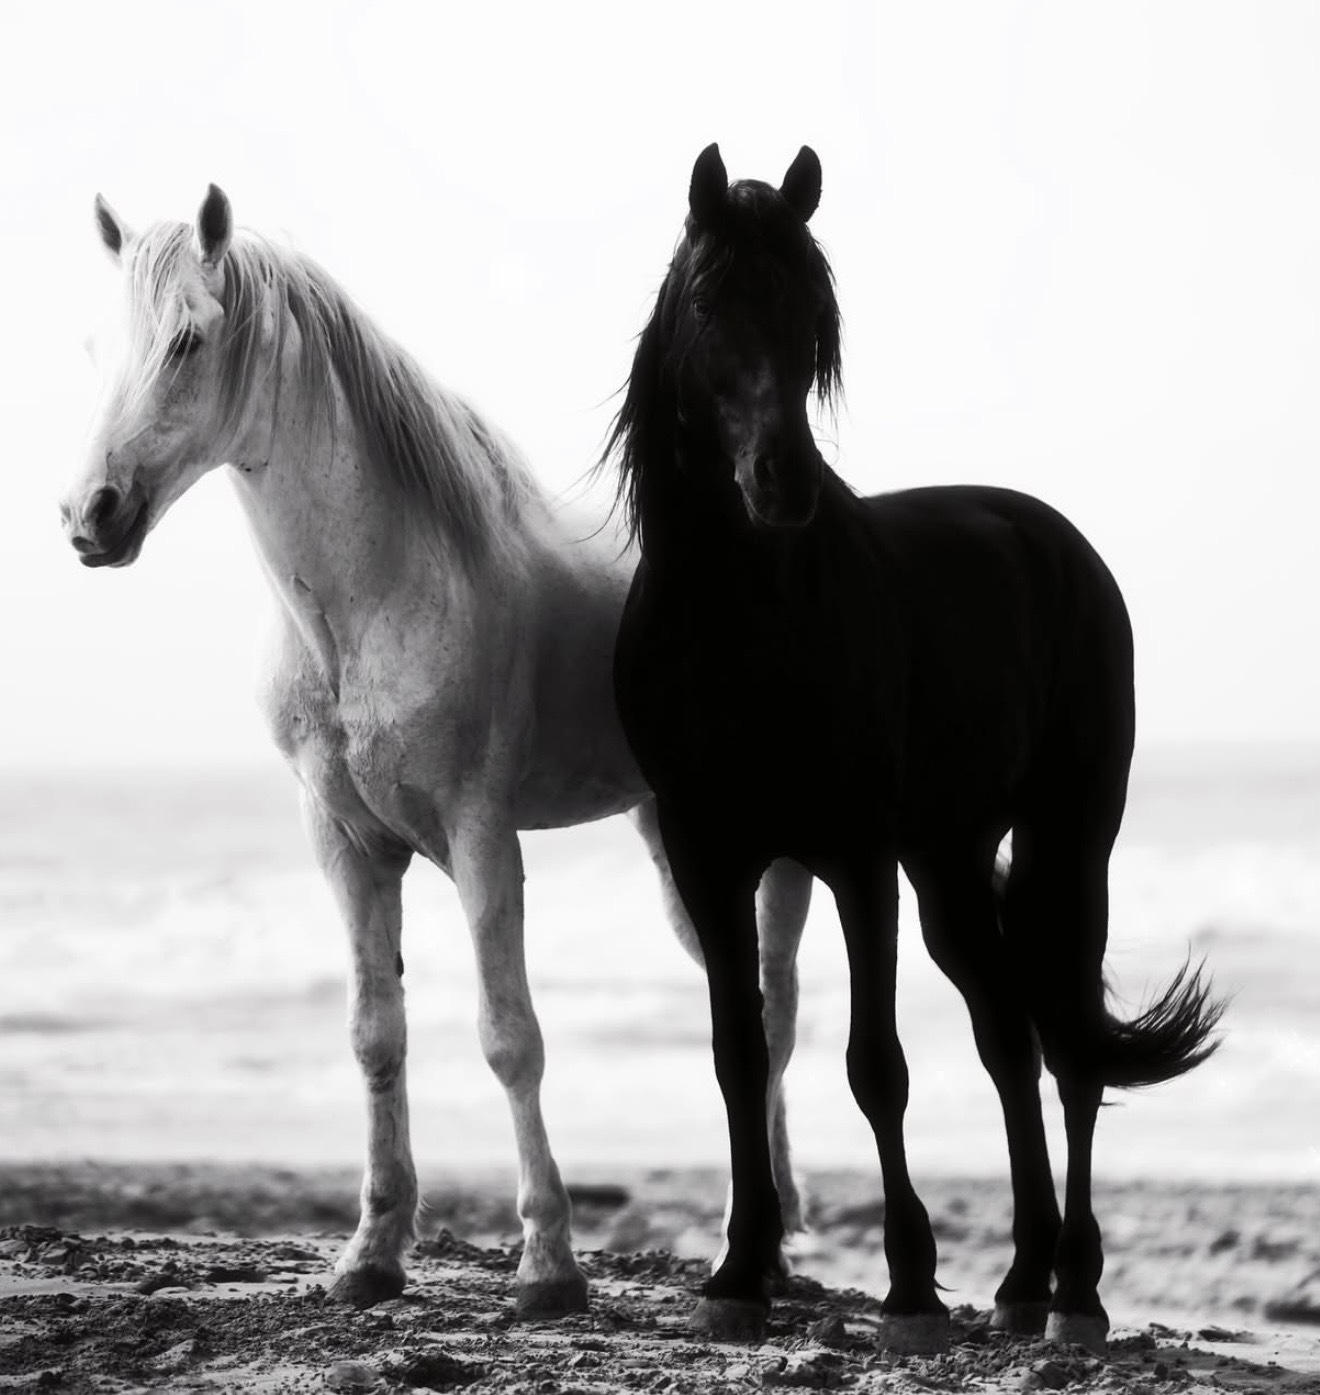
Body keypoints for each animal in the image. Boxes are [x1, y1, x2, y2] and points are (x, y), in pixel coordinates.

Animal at [60, 184, 816, 1313]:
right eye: (108, 343)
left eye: (189, 338)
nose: (89, 514)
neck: (377, 595)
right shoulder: (346, 844)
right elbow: (377, 1035)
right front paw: (371, 1254)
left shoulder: (480, 835)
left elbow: (511, 1038)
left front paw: (548, 1267)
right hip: (672, 848)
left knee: (776, 1009)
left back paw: (762, 1249)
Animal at [605, 143, 1224, 1354]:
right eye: (709, 304)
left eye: (813, 316)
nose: (783, 486)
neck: (739, 623)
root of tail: (1056, 542)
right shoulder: (710, 856)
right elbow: (741, 1054)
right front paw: (739, 1274)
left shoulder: (854, 859)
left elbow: (874, 1066)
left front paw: (909, 1290)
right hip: (948, 864)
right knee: (1007, 1036)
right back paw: (1022, 1277)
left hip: (1066, 841)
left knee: (1068, 1051)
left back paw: (1074, 1293)